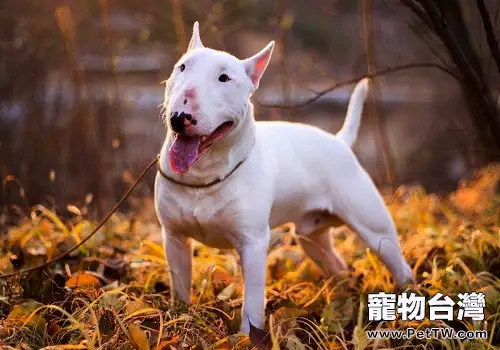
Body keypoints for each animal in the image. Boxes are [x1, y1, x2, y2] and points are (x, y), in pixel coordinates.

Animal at [155, 21, 414, 334]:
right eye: (181, 67)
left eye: (224, 78)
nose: (180, 116)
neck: (203, 177)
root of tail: (339, 141)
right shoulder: (174, 238)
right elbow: (180, 287)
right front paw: (177, 321)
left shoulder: (254, 243)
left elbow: (252, 302)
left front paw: (247, 338)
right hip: (311, 236)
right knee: (336, 266)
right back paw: (341, 304)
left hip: (375, 230)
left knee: (399, 265)